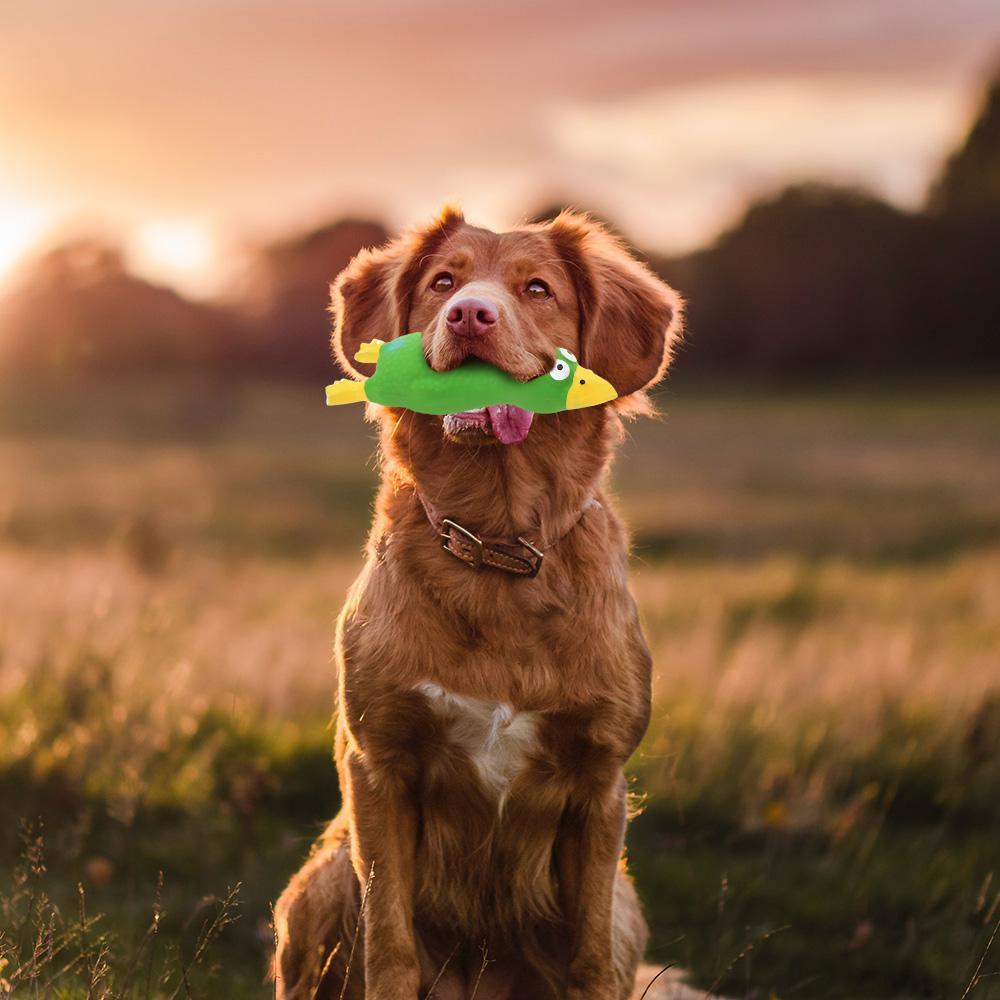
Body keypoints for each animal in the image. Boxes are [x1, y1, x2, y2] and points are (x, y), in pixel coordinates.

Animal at [270, 207, 684, 996]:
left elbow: (587, 957)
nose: (469, 314)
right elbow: (390, 947)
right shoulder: (380, 768)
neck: (496, 546)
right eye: (442, 282)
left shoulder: (600, 783)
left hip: (626, 901)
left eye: (537, 288)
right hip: (321, 877)